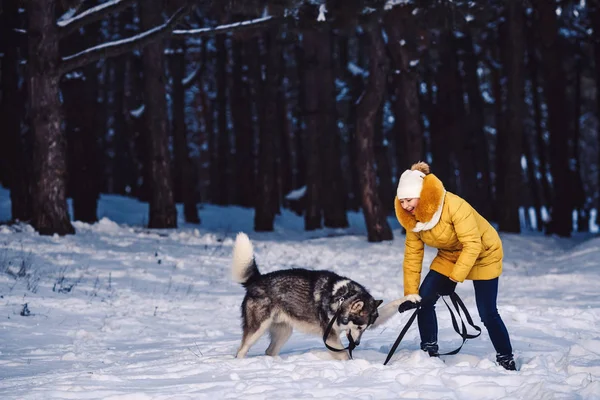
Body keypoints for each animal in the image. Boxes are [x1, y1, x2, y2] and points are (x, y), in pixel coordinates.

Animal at [230, 231, 408, 360]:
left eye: (366, 328)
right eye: (359, 327)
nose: (357, 343)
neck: (341, 298)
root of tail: (257, 279)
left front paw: (409, 298)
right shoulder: (330, 337)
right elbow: (344, 354)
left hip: (284, 331)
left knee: (269, 351)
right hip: (257, 329)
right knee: (241, 350)